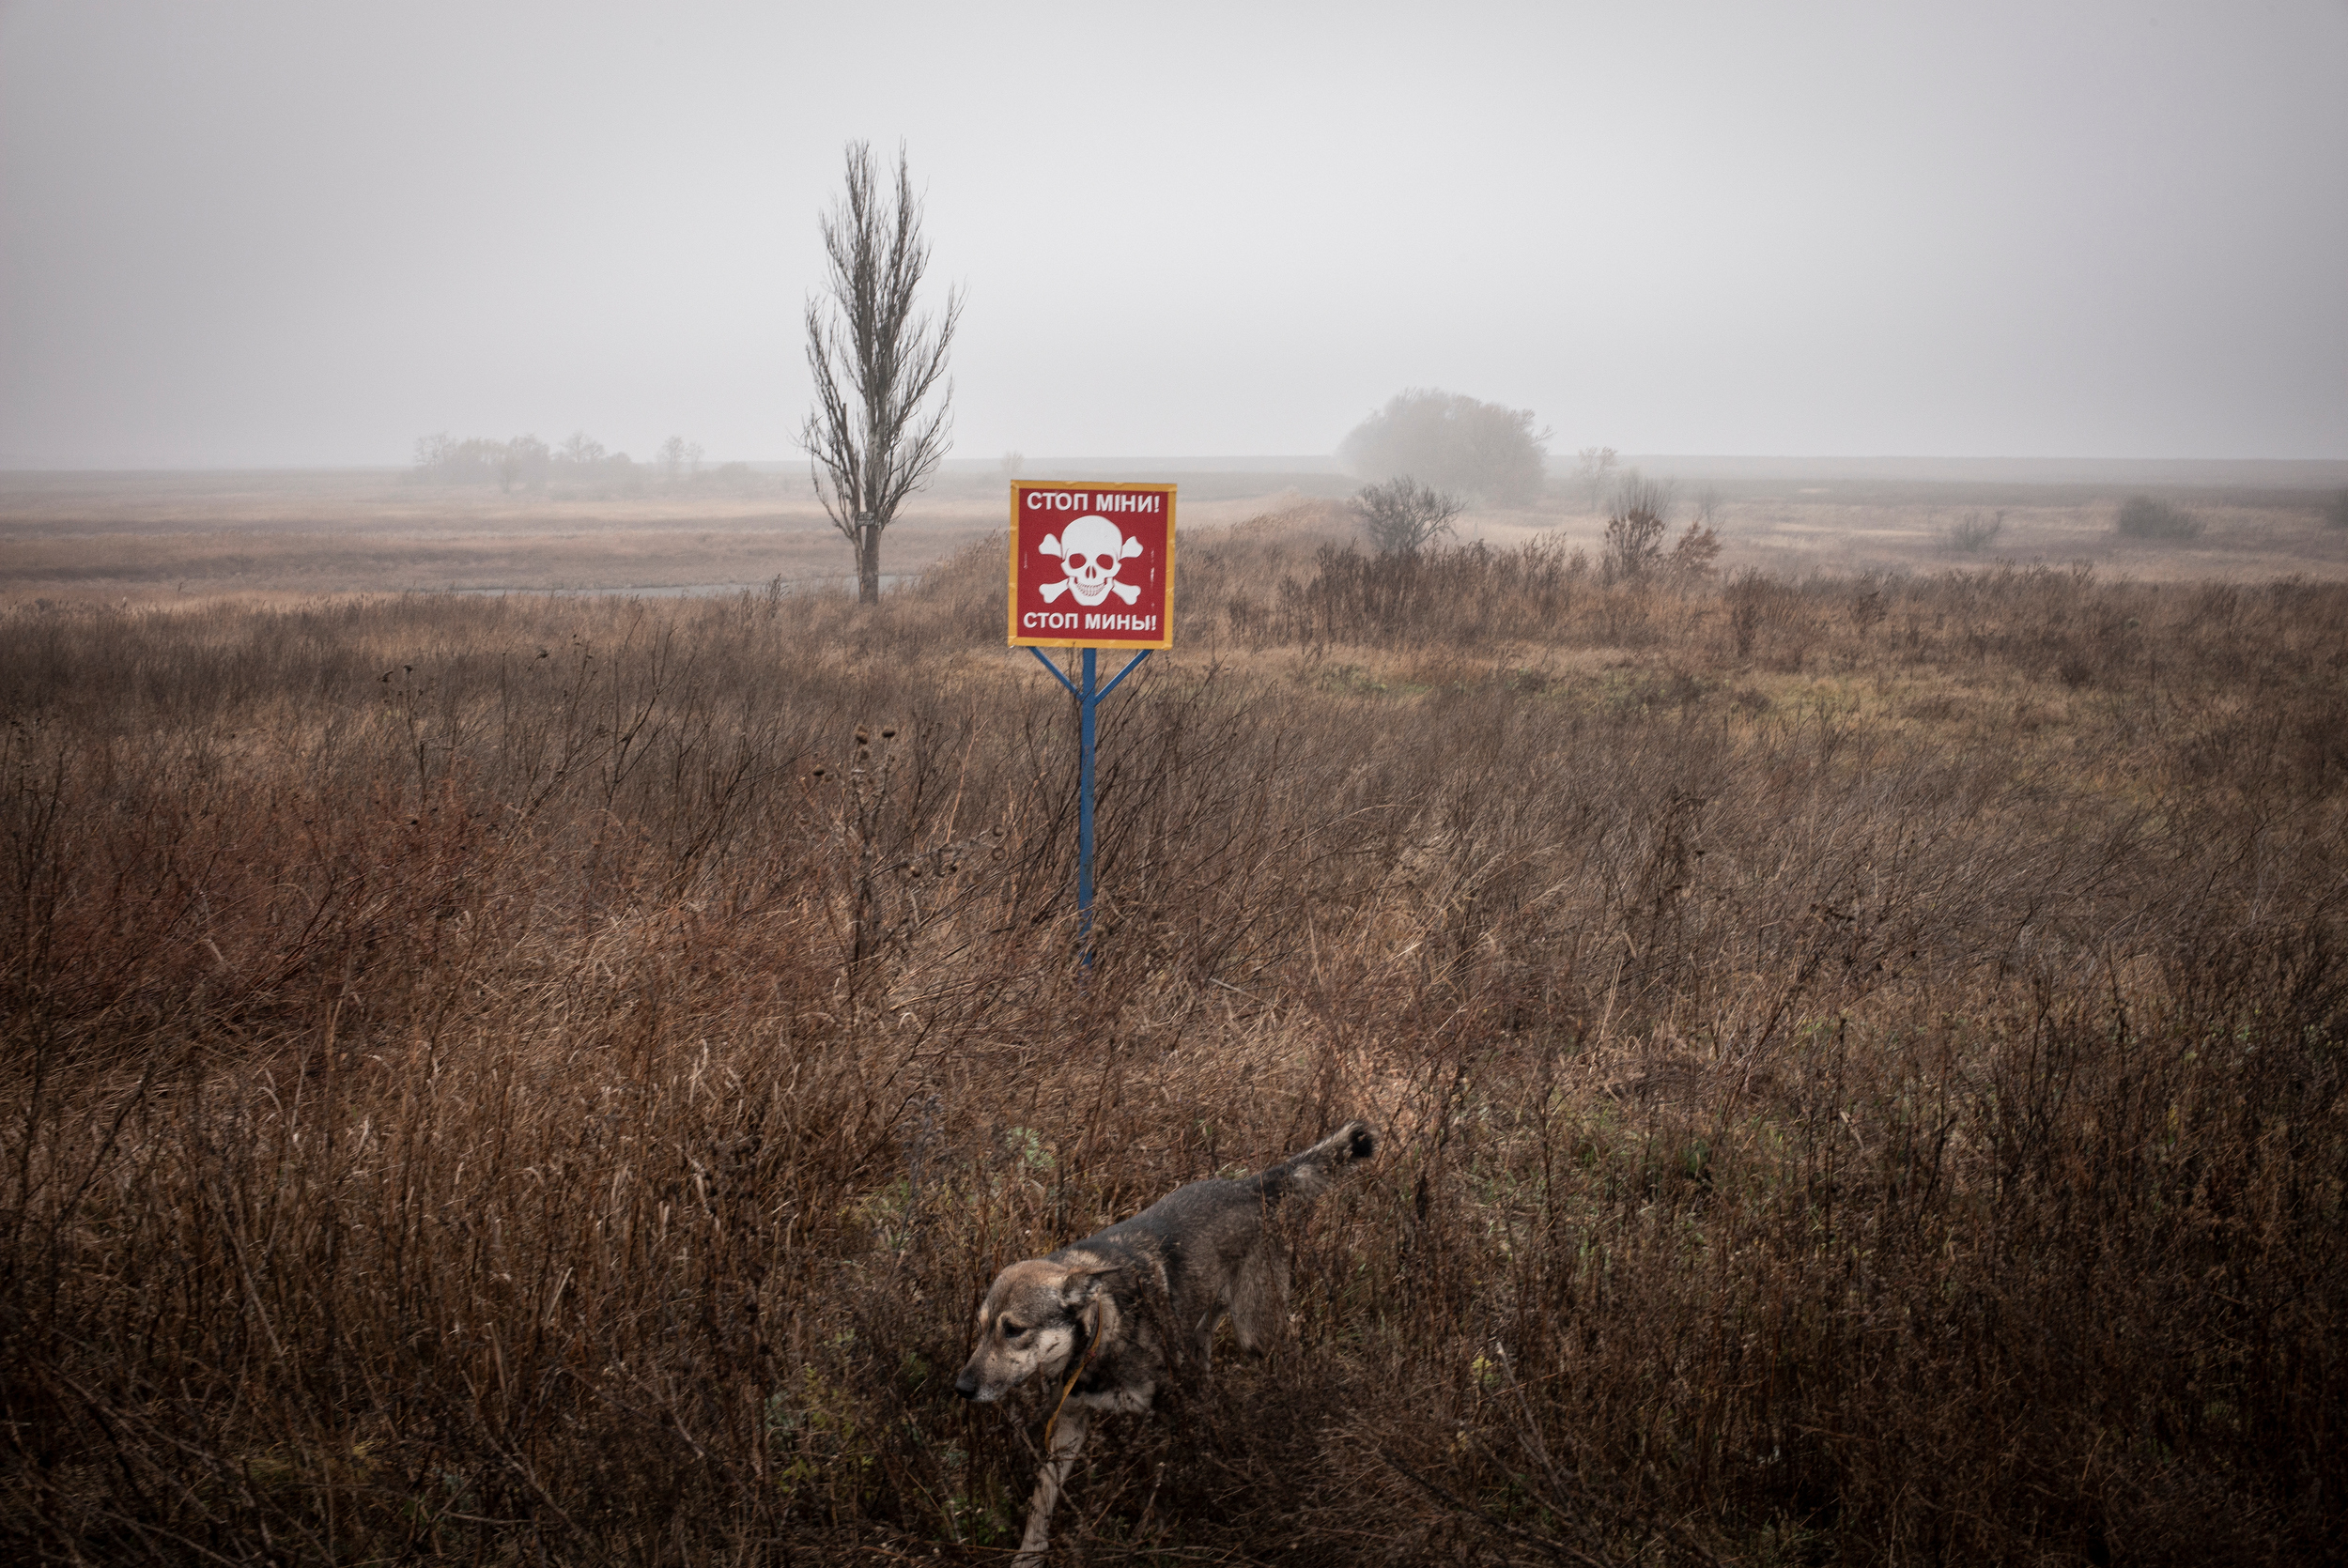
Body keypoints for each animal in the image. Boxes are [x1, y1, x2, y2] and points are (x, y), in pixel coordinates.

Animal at [954, 1120, 1377, 1563]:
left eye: (1013, 1330)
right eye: (981, 1328)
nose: (961, 1388)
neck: (1102, 1332)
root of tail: (1248, 1185)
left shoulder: (1166, 1410)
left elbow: (1160, 1484)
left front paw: (1151, 1536)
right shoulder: (1069, 1422)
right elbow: (1042, 1498)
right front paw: (1029, 1555)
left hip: (1255, 1331)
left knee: (1287, 1342)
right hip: (1203, 1327)